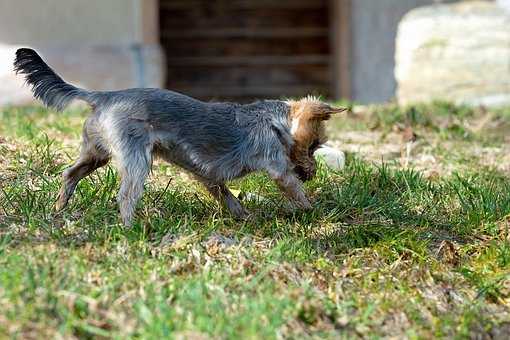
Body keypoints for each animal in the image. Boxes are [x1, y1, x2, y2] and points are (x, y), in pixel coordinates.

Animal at [12, 47, 346, 226]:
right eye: (313, 145)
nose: (313, 174)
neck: (277, 121)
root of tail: (103, 96)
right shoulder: (278, 167)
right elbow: (295, 191)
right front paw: (316, 212)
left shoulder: (209, 177)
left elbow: (228, 197)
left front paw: (245, 217)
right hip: (136, 158)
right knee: (126, 194)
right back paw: (130, 227)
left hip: (97, 152)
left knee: (70, 173)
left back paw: (59, 209)